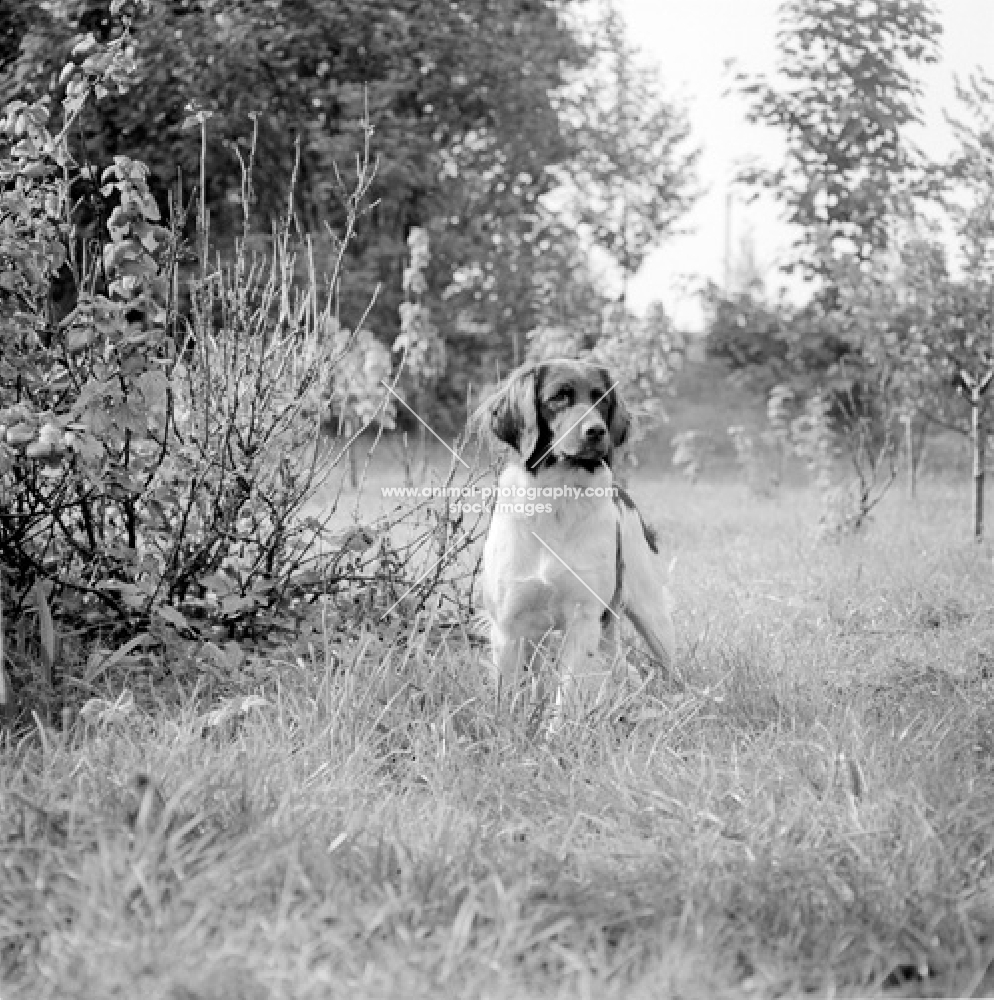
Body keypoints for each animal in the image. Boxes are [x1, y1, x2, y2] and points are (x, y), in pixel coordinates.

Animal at [478, 360, 676, 720]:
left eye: (602, 399)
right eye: (559, 397)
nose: (596, 432)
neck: (557, 500)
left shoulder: (584, 619)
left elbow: (566, 698)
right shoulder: (508, 625)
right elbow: (509, 699)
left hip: (651, 615)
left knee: (669, 671)